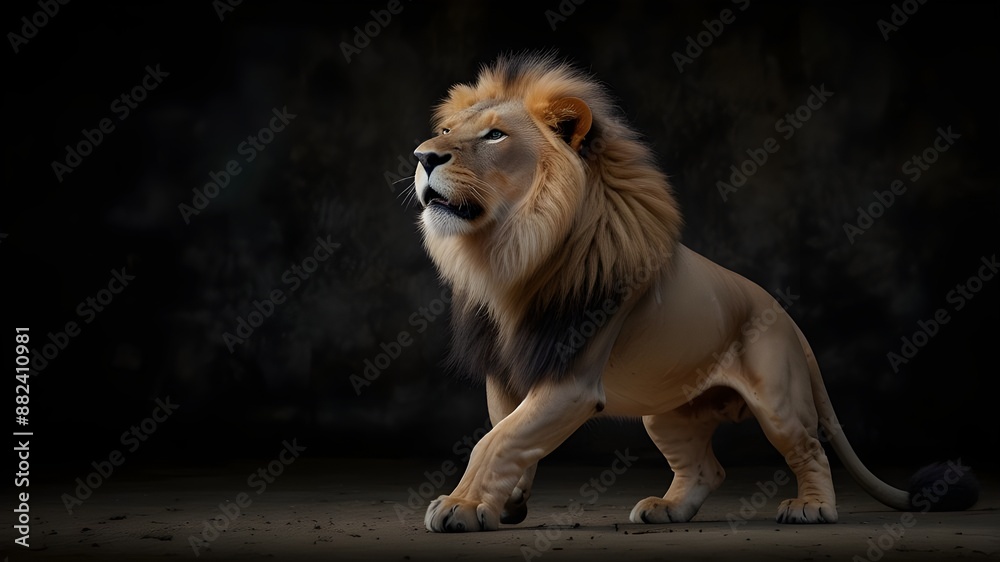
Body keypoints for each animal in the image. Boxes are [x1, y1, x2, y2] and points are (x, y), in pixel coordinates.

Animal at [410, 52, 977, 532]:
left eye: (494, 136)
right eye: (445, 131)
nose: (423, 156)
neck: (512, 252)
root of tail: (785, 314)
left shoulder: (572, 380)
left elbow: (496, 440)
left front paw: (460, 505)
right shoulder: (505, 369)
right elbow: (505, 430)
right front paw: (503, 501)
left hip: (779, 399)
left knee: (810, 450)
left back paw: (812, 507)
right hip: (666, 413)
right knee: (707, 468)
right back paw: (668, 509)